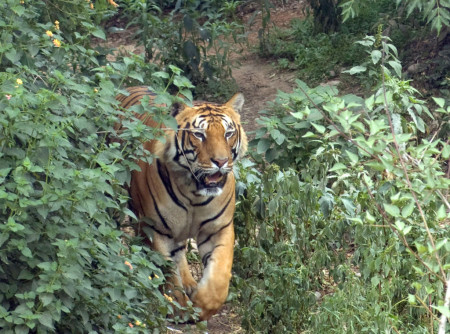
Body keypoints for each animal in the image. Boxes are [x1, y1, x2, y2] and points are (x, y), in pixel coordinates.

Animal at [116, 86, 248, 320]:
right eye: (199, 135)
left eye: (228, 134)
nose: (221, 162)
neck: (194, 193)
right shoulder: (154, 228)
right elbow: (166, 269)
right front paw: (176, 304)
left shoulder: (219, 228)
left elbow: (219, 277)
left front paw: (202, 305)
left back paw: (189, 283)